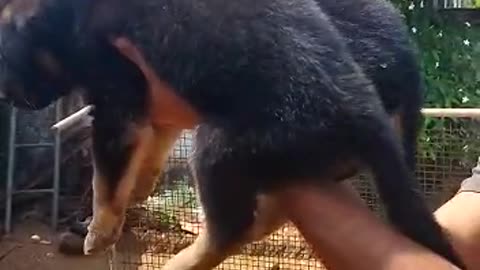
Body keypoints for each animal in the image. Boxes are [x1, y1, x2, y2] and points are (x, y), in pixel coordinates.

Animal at [0, 0, 464, 266]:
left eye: (10, 64)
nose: (10, 99)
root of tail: (362, 107)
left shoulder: (117, 88)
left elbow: (107, 175)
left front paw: (99, 231)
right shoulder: (155, 93)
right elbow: (157, 137)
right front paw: (142, 184)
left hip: (220, 146)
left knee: (231, 229)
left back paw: (183, 262)